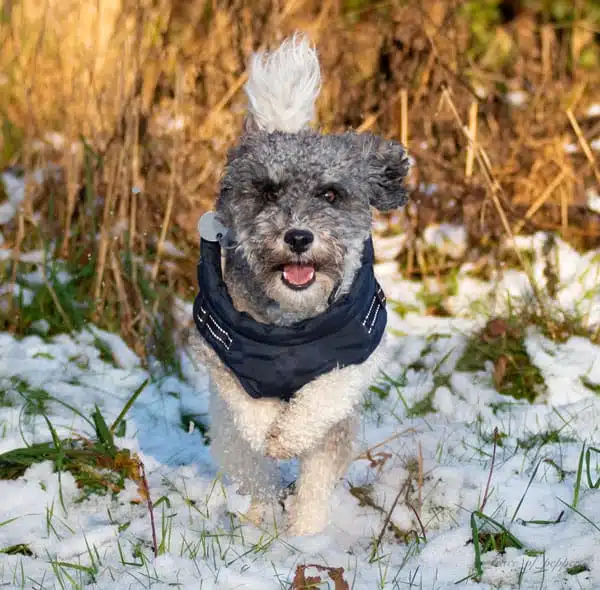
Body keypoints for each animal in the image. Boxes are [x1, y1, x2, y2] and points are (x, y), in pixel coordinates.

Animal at [190, 34, 410, 540]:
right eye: (268, 192)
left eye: (330, 194)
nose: (298, 236)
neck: (290, 328)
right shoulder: (218, 352)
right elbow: (249, 408)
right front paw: (271, 430)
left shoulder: (355, 356)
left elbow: (320, 397)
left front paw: (288, 434)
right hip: (228, 440)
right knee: (254, 473)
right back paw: (261, 519)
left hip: (336, 438)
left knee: (314, 483)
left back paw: (307, 535)